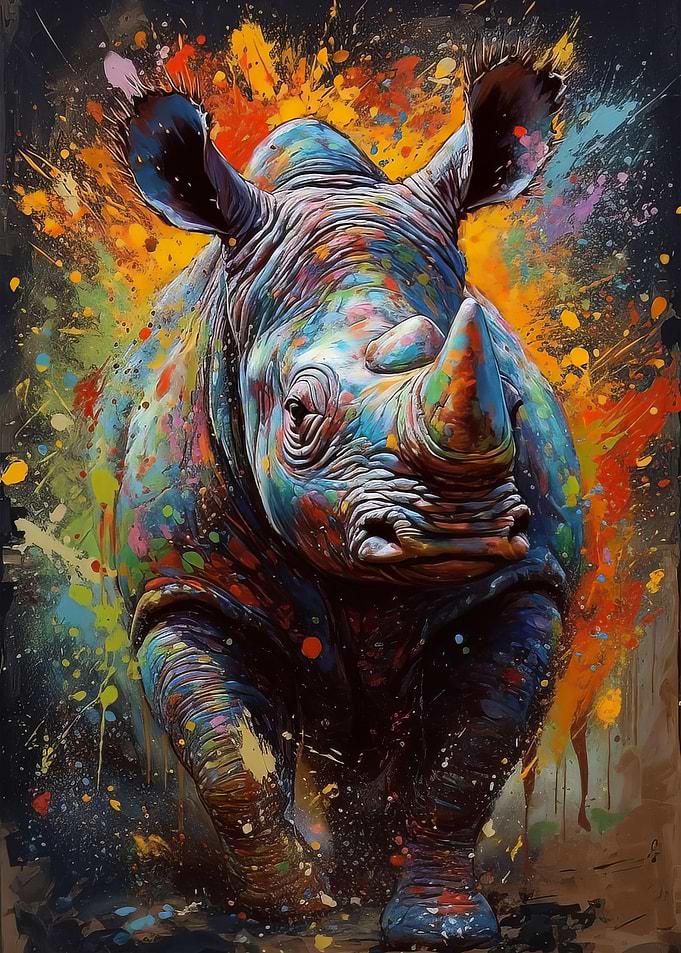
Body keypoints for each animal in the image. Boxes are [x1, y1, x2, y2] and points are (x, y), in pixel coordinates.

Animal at [98, 46, 583, 951]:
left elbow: (469, 755)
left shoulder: (523, 576)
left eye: (510, 398)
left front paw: (436, 928)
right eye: (295, 413)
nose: (453, 532)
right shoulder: (183, 583)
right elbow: (227, 756)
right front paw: (295, 910)